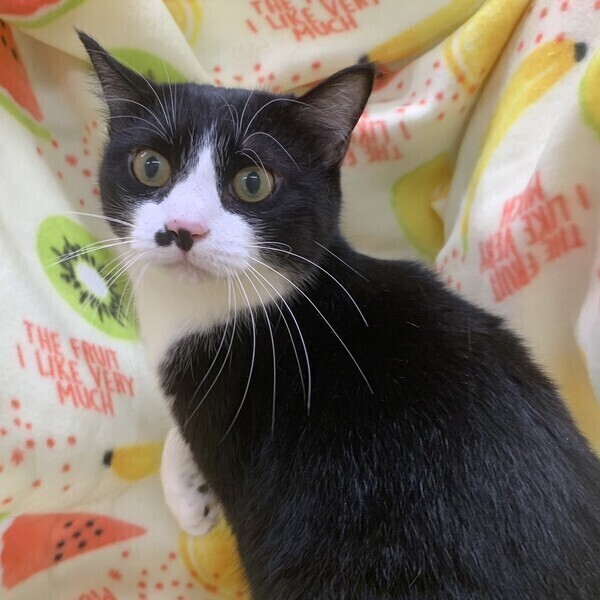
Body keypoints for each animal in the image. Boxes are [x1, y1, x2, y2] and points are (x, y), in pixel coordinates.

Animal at [80, 33, 600, 599]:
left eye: (253, 182)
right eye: (150, 166)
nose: (181, 228)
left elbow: (184, 427)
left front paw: (187, 492)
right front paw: (190, 491)